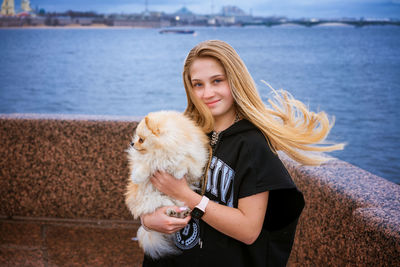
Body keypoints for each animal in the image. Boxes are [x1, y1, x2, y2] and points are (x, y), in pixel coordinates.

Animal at [125, 110, 209, 260]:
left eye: (141, 139)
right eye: (137, 138)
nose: (132, 143)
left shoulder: (194, 162)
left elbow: (185, 162)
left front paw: (178, 172)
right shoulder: (149, 159)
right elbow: (147, 163)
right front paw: (138, 175)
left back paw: (181, 213)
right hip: (156, 200)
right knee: (165, 207)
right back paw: (174, 212)